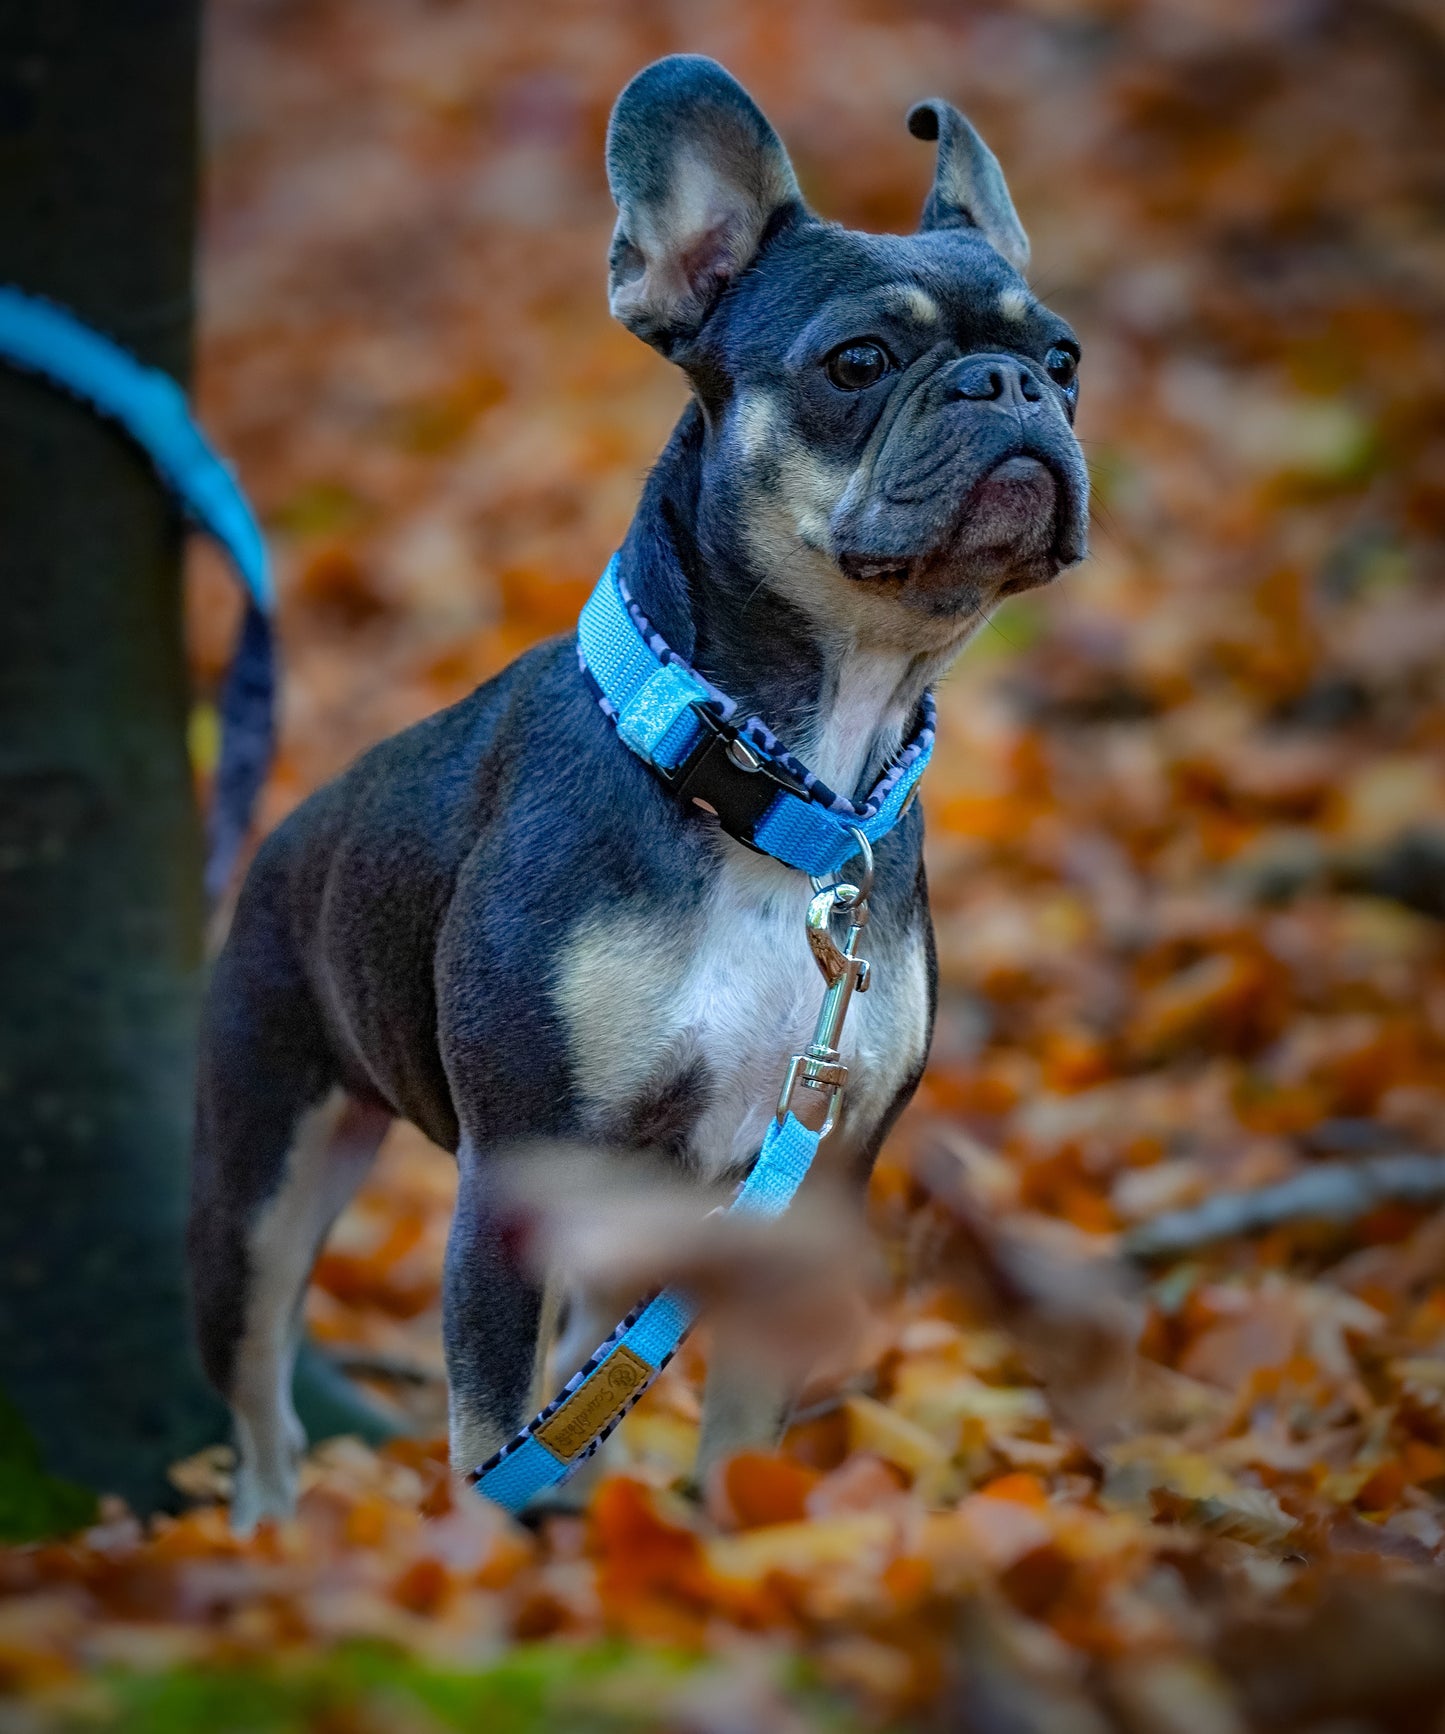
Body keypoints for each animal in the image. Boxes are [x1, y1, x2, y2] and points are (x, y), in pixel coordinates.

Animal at [189, 50, 1082, 1532]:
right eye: (858, 362)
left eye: (1066, 361)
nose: (1010, 383)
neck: (775, 780)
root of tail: (286, 837)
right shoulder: (518, 1175)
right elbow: (490, 1432)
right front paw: (500, 1568)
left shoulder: (812, 1179)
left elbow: (737, 1418)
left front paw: (733, 1543)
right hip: (259, 1173)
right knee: (262, 1391)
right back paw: (267, 1537)